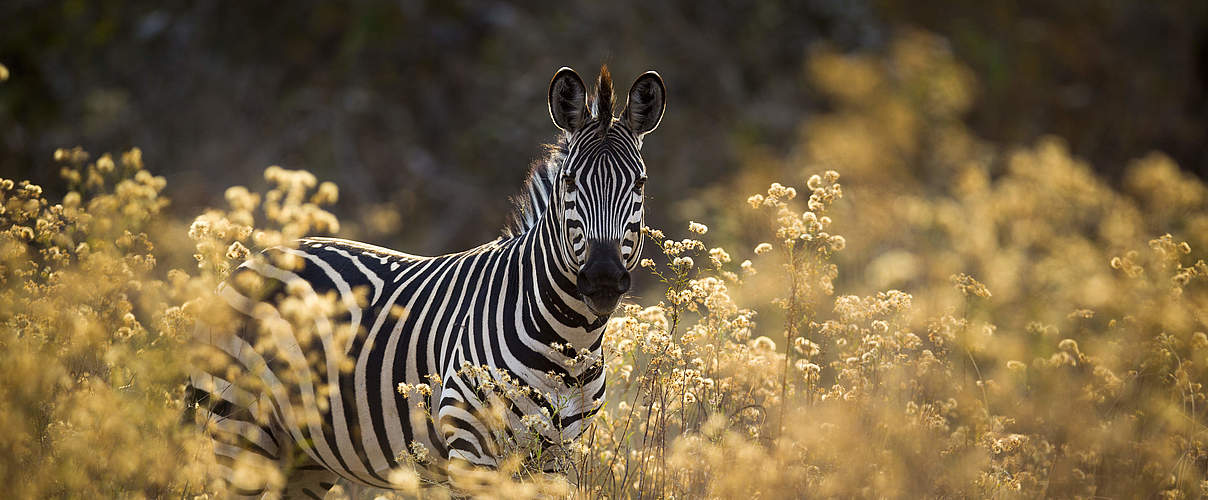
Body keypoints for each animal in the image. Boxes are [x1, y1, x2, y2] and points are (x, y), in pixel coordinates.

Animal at [183, 65, 666, 495]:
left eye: (640, 183)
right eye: (568, 182)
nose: (603, 278)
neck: (571, 343)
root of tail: (254, 261)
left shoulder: (556, 459)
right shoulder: (471, 450)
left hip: (306, 457)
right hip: (239, 428)